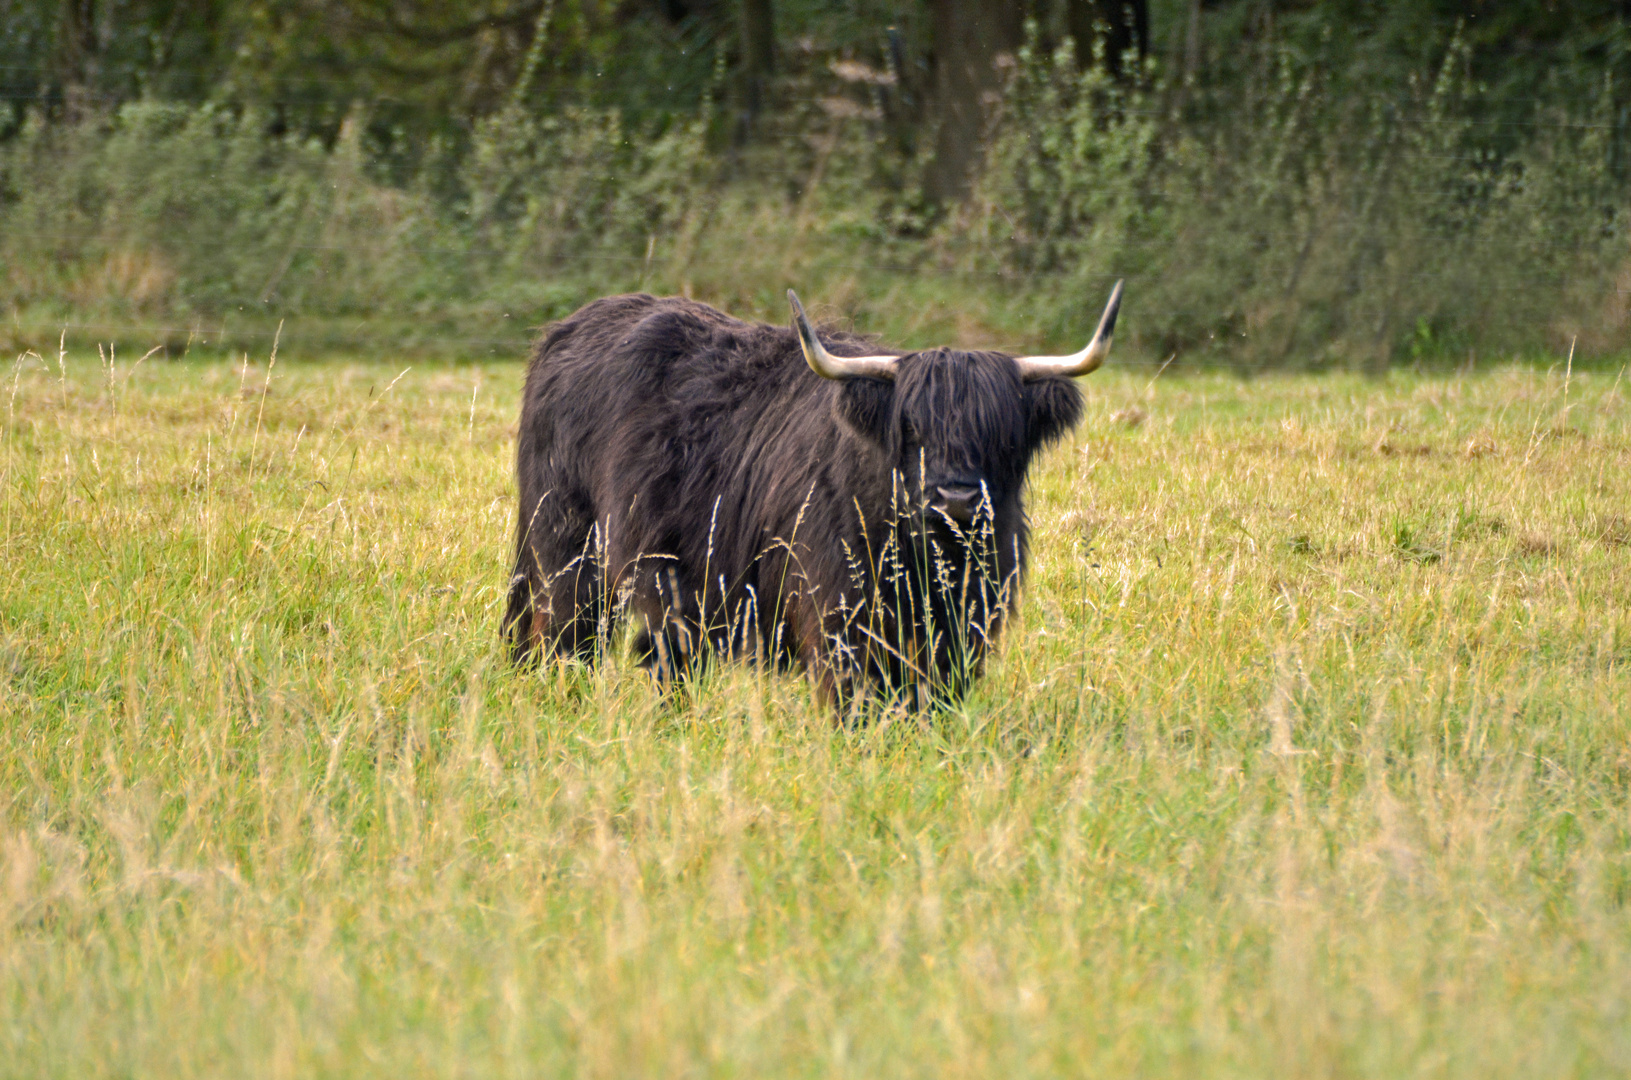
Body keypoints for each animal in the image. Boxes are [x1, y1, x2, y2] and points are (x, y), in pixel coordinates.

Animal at [505, 287, 1122, 711]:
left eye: (1002, 434)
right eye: (911, 429)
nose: (956, 497)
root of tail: (571, 328)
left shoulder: (965, 616)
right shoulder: (838, 612)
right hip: (566, 552)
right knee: (565, 638)